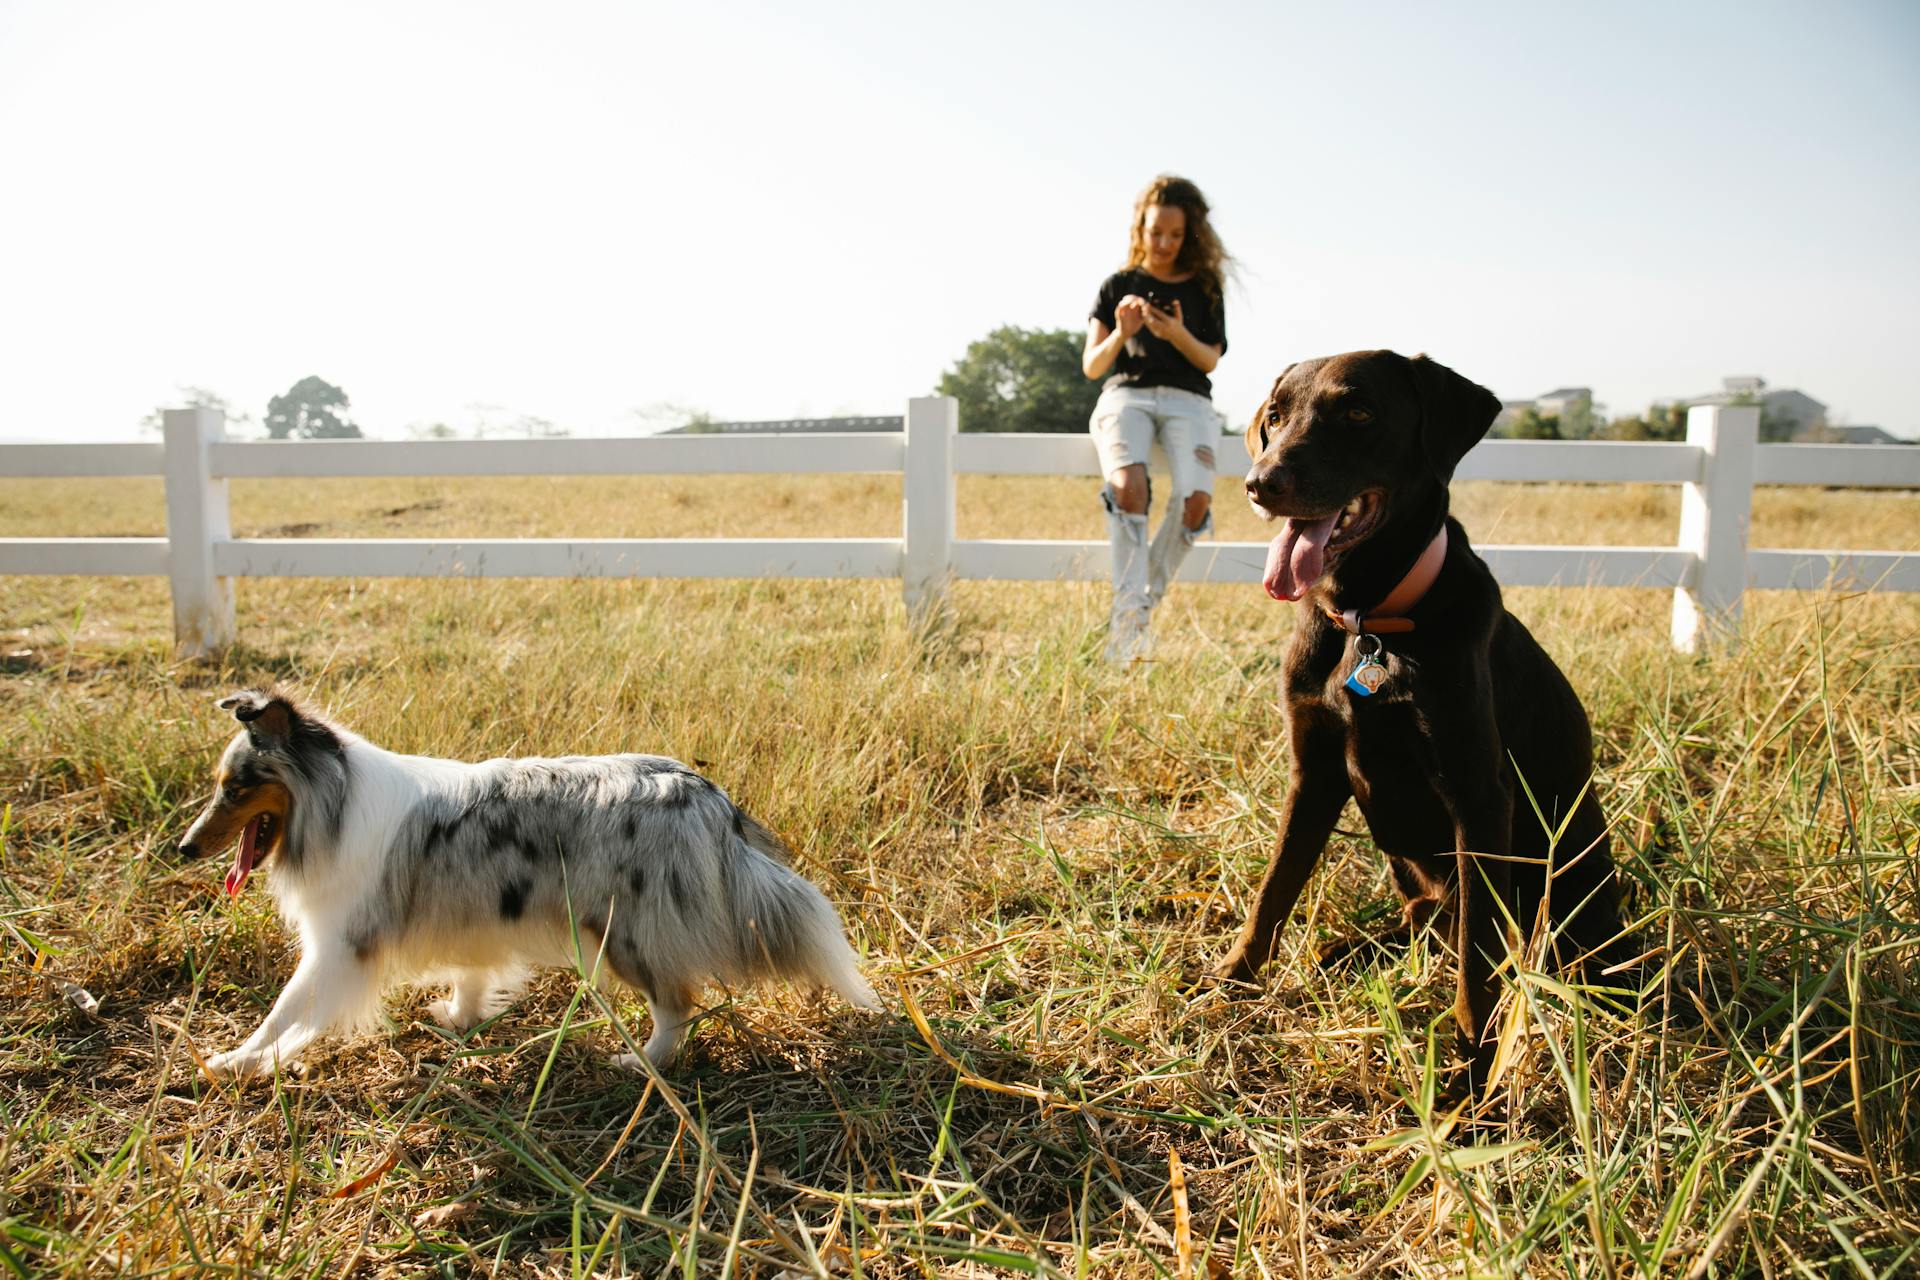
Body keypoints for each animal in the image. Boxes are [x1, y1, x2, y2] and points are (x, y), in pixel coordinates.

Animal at [176, 687, 879, 1074]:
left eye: (235, 788)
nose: (183, 849)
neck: (335, 801)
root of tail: (704, 794)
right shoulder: (471, 918)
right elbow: (470, 974)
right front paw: (459, 1018)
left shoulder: (338, 949)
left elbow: (284, 1012)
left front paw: (239, 1063)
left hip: (623, 933)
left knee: (676, 1003)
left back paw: (641, 1063)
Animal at [1213, 351, 1635, 1090]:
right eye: (1276, 416)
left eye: (1358, 412)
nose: (1261, 484)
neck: (1368, 621)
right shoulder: (1311, 771)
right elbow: (1274, 888)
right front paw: (1233, 978)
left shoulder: (1479, 794)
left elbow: (1477, 947)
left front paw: (1474, 1053)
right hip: (1412, 876)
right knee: (1422, 917)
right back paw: (1346, 952)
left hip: (1568, 889)